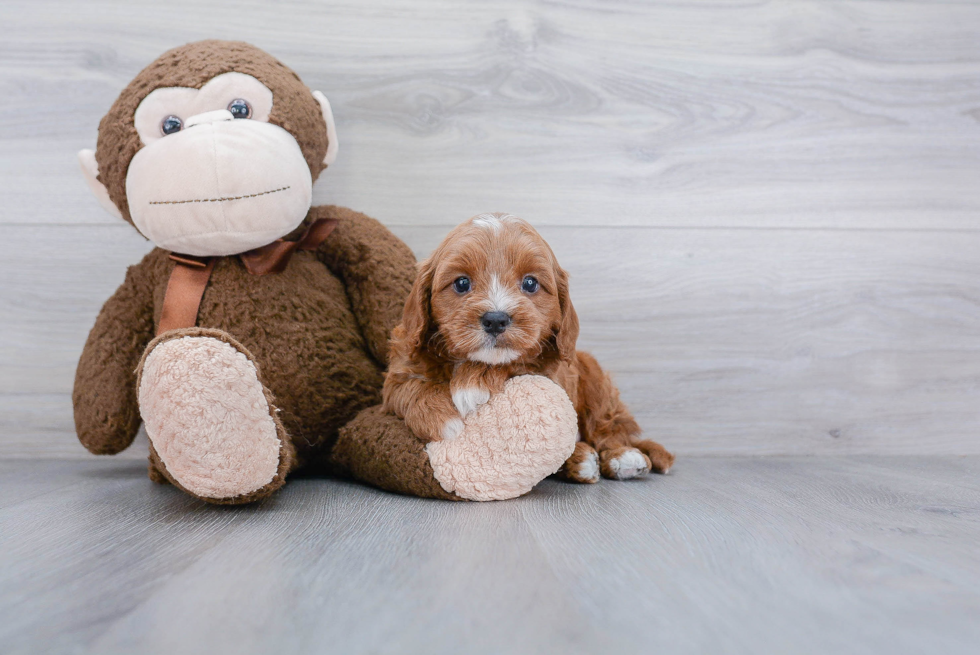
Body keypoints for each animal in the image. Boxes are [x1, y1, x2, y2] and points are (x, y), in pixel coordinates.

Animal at [382, 211, 672, 482]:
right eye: (462, 283)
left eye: (530, 283)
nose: (495, 319)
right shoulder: (398, 373)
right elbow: (409, 389)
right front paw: (445, 421)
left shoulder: (550, 370)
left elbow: (522, 360)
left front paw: (473, 383)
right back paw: (581, 460)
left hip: (595, 378)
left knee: (607, 426)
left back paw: (622, 456)